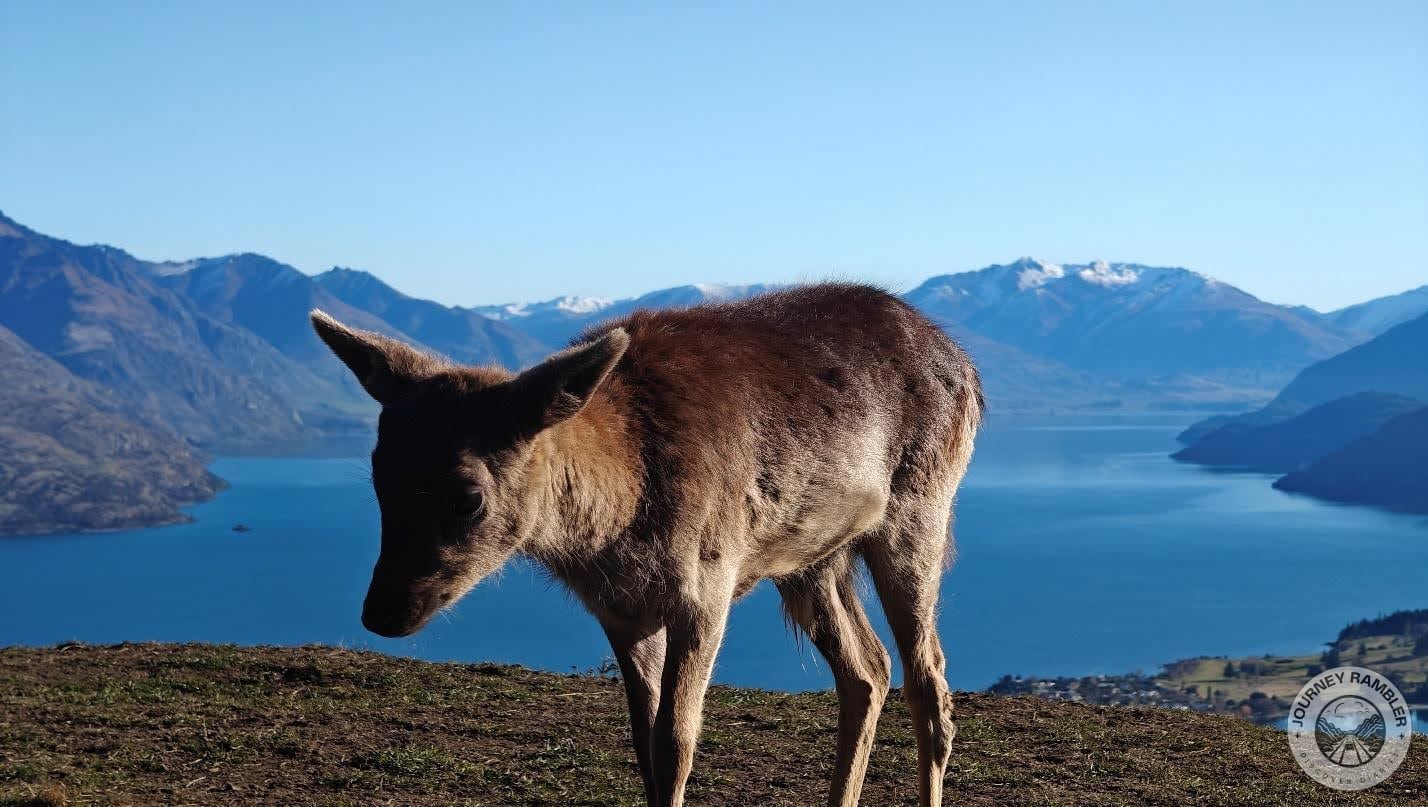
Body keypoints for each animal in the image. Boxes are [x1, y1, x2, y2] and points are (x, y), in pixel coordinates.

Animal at [309, 283, 982, 807]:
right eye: (377, 475)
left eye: (467, 497)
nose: (383, 612)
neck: (620, 527)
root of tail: (971, 374)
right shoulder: (621, 612)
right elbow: (643, 745)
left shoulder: (708, 584)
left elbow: (676, 742)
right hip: (813, 559)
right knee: (868, 671)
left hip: (920, 512)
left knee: (929, 680)